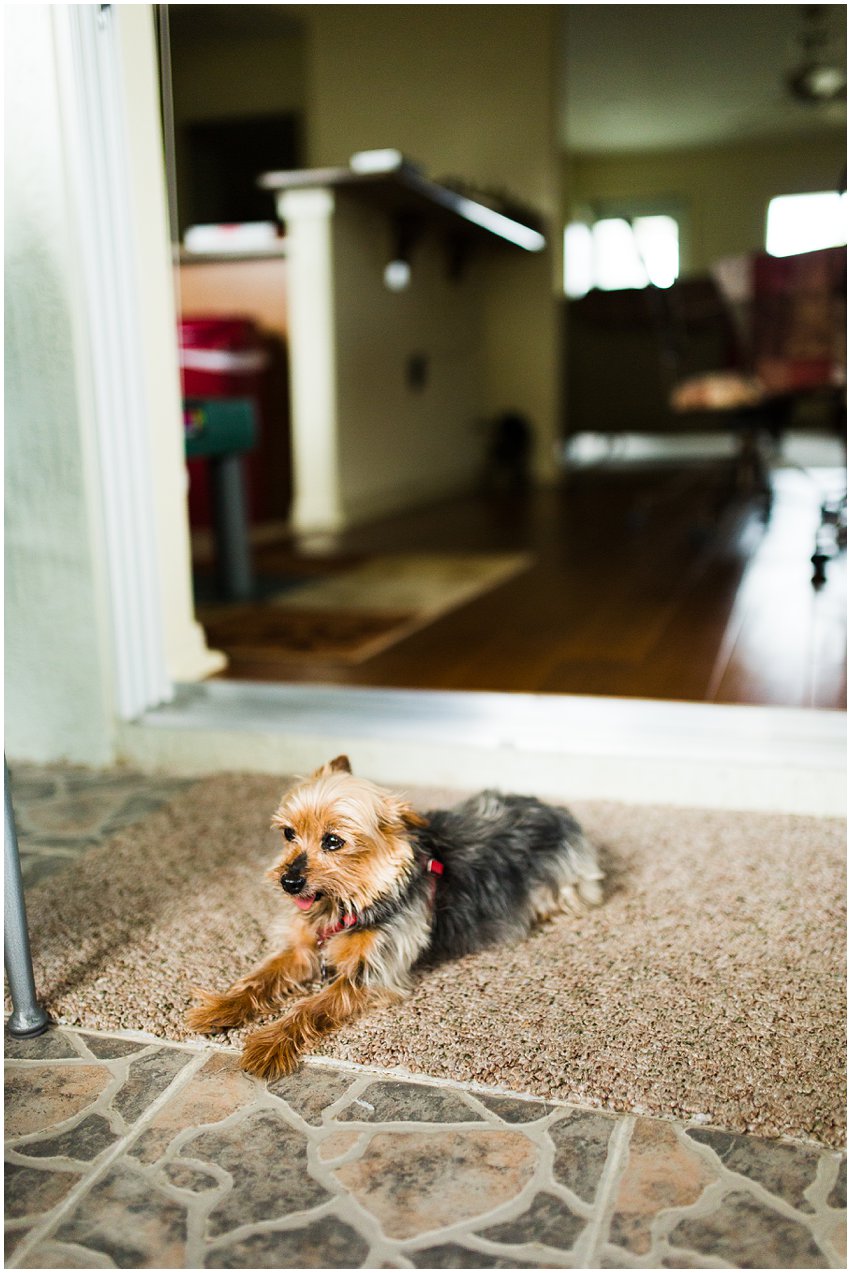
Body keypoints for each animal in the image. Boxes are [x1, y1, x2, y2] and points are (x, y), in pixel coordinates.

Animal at [189, 758, 601, 1079]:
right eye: (289, 833)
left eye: (333, 841)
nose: (289, 882)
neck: (347, 904)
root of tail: (553, 809)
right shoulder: (302, 949)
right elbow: (258, 979)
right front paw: (220, 1007)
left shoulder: (370, 973)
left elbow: (309, 1007)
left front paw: (269, 1042)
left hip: (569, 887)